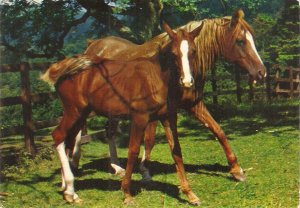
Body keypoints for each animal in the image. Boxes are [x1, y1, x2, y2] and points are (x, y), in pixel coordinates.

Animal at [40, 22, 204, 205]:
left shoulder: (168, 118)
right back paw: (70, 192)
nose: (187, 82)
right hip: (73, 112)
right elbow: (133, 150)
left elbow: (176, 151)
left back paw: (67, 188)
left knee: (68, 141)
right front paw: (126, 192)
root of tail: (66, 68)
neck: (155, 78)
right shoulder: (140, 118)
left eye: (193, 51)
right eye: (174, 53)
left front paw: (190, 194)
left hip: (80, 114)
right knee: (58, 136)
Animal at [81, 9, 264, 182]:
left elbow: (218, 130)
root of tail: (92, 46)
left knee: (109, 132)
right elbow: (150, 139)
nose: (262, 72)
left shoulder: (193, 104)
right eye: (240, 41)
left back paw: (116, 166)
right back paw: (115, 167)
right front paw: (145, 171)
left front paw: (236, 170)